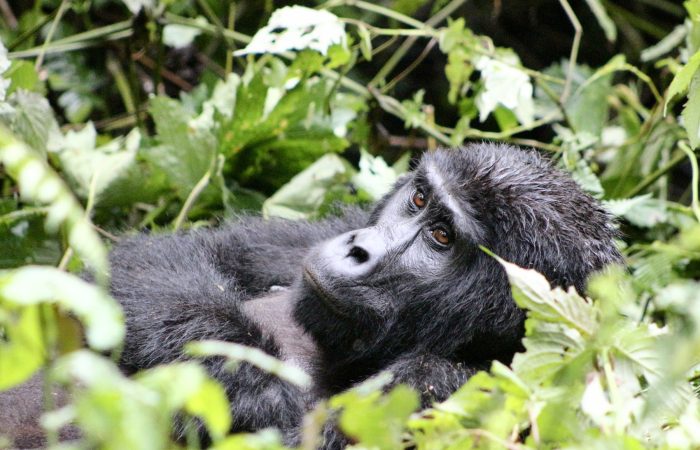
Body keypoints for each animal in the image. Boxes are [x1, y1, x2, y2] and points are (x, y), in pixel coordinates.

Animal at [0, 143, 624, 446]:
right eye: (419, 200)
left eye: (443, 238)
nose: (358, 250)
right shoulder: (322, 233)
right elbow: (168, 263)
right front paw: (244, 374)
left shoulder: (465, 389)